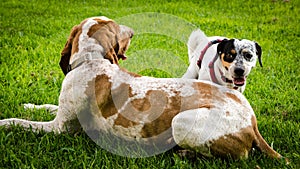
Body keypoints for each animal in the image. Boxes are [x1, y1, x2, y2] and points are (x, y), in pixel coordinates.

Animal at [0, 16, 284, 160]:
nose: (133, 30)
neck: (91, 61)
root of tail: (252, 122)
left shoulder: (60, 129)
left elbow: (21, 122)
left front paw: (6, 122)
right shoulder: (60, 113)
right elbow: (44, 106)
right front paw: (29, 104)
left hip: (181, 122)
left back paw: (181, 153)